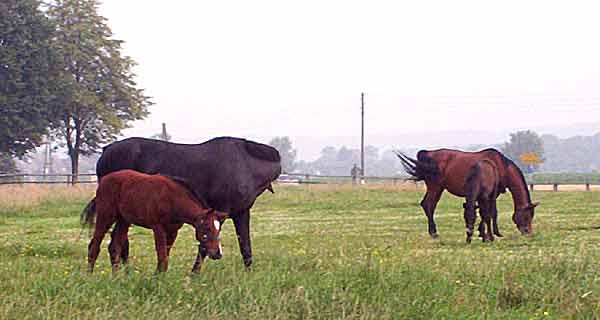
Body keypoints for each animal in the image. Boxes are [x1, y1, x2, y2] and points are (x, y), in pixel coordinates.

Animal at [86, 170, 230, 272]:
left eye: (219, 229)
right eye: (206, 227)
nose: (217, 253)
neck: (173, 199)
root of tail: (104, 180)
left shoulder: (173, 231)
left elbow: (165, 257)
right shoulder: (158, 228)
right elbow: (162, 257)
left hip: (123, 221)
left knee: (115, 247)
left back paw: (116, 277)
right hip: (105, 216)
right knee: (94, 246)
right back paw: (90, 276)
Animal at [398, 149, 540, 239]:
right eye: (527, 216)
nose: (528, 232)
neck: (501, 166)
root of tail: (428, 154)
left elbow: (483, 212)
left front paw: (481, 232)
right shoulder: (492, 195)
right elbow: (489, 212)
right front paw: (489, 233)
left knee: (426, 204)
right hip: (436, 188)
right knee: (429, 205)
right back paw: (434, 233)